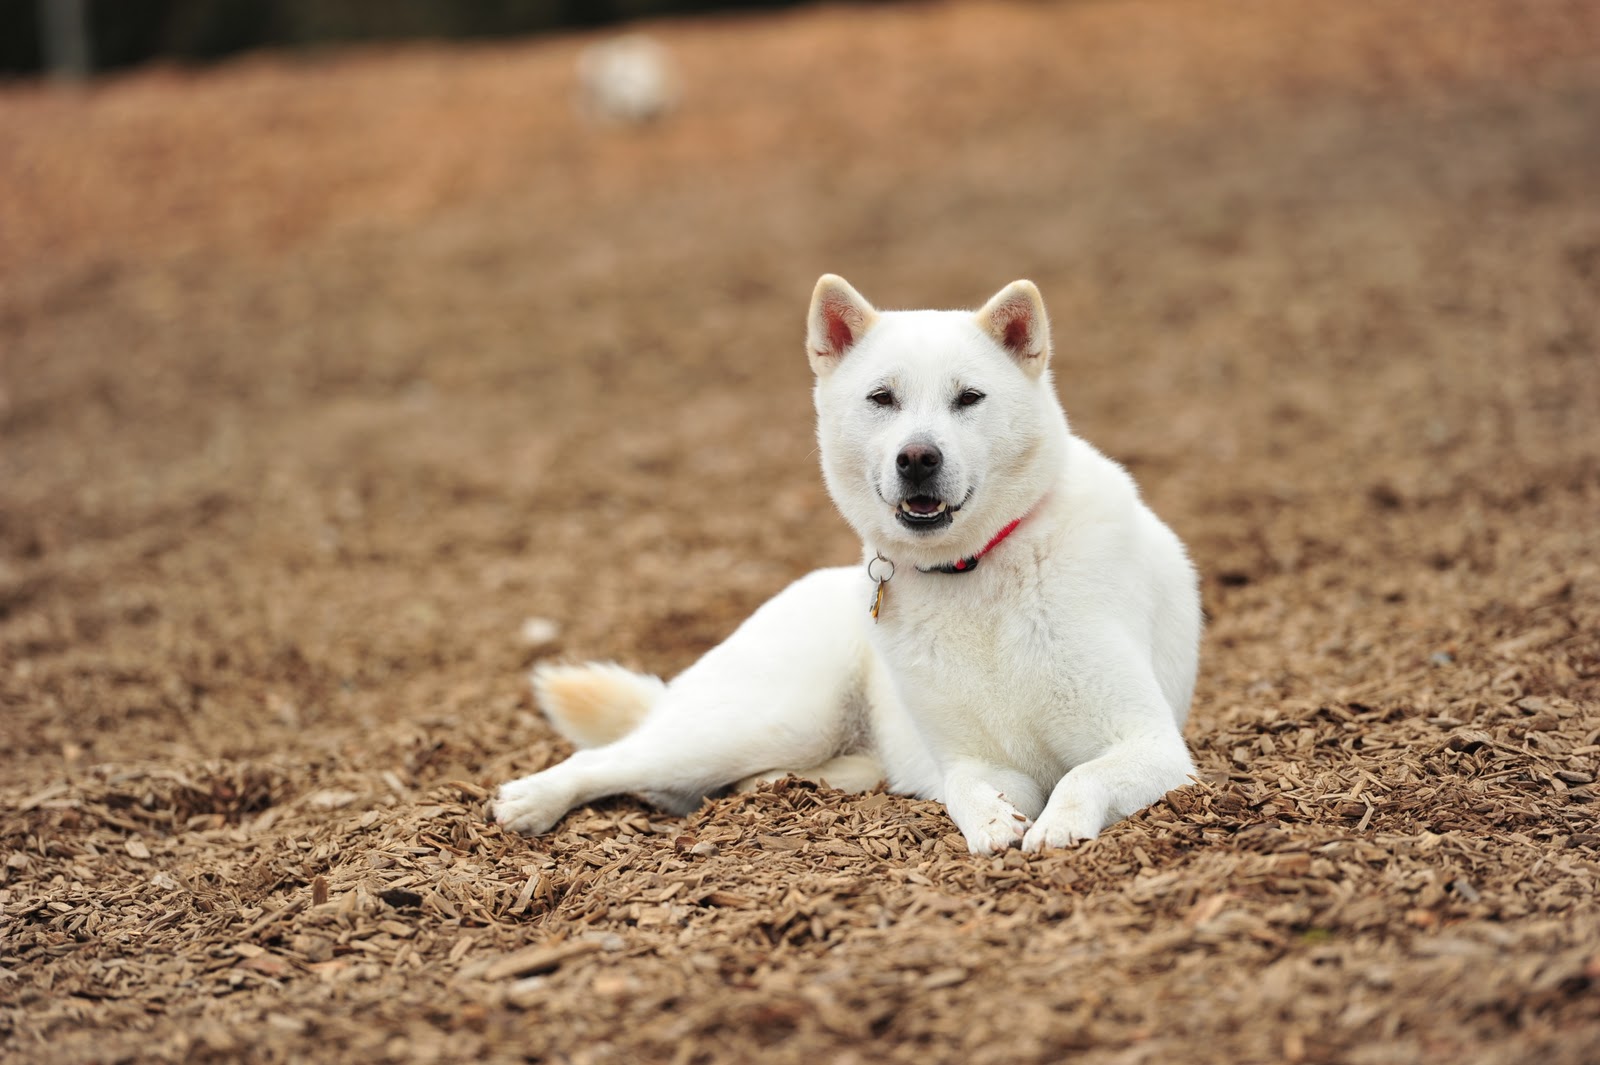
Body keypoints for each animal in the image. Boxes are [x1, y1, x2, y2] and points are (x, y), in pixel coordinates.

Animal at [492, 275, 1196, 857]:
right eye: (882, 397)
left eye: (969, 398)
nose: (918, 458)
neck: (977, 567)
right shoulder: (977, 762)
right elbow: (967, 792)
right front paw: (993, 825)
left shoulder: (1153, 745)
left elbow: (1081, 775)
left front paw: (1057, 826)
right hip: (770, 719)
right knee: (614, 760)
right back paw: (530, 799)